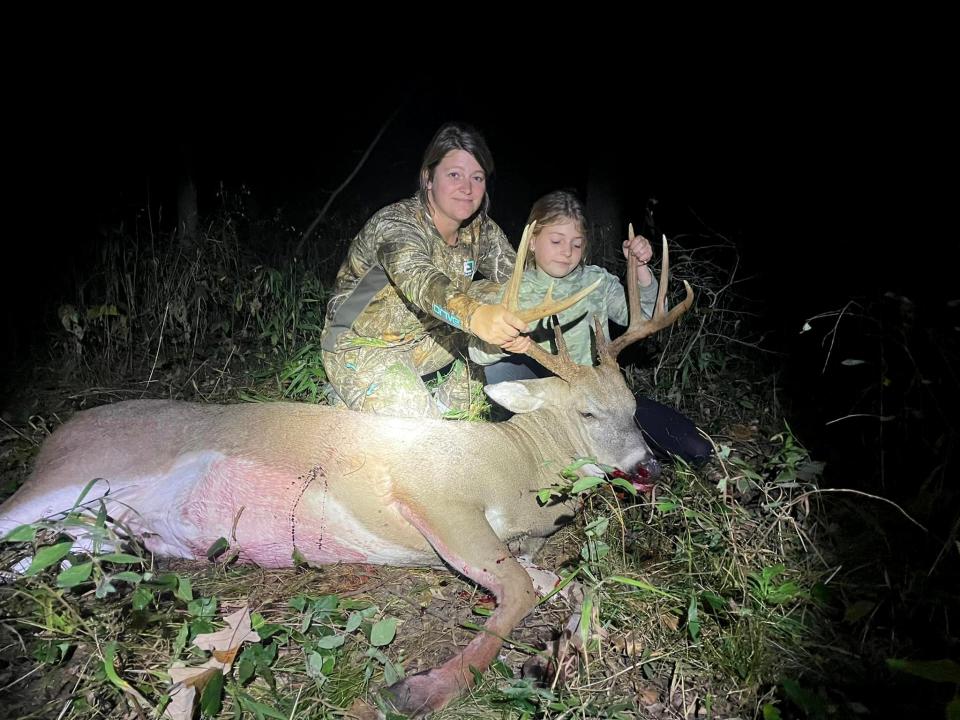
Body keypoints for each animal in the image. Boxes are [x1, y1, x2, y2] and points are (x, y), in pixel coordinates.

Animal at [0, 224, 688, 716]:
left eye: (634, 408)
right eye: (588, 411)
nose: (648, 467)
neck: (518, 468)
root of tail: (57, 437)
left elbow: (569, 585)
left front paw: (562, 651)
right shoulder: (438, 499)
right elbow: (518, 591)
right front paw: (421, 689)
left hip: (101, 533)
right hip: (71, 477)